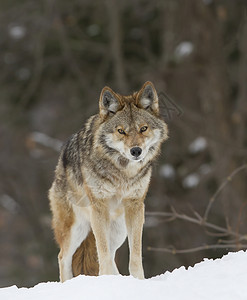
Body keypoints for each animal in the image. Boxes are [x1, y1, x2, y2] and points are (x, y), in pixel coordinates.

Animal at [48, 80, 168, 282]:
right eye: (121, 131)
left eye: (143, 128)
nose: (136, 151)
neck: (122, 171)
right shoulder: (99, 206)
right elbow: (101, 252)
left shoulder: (136, 206)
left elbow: (135, 255)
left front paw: (139, 281)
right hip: (77, 228)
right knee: (63, 256)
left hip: (118, 230)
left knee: (110, 255)